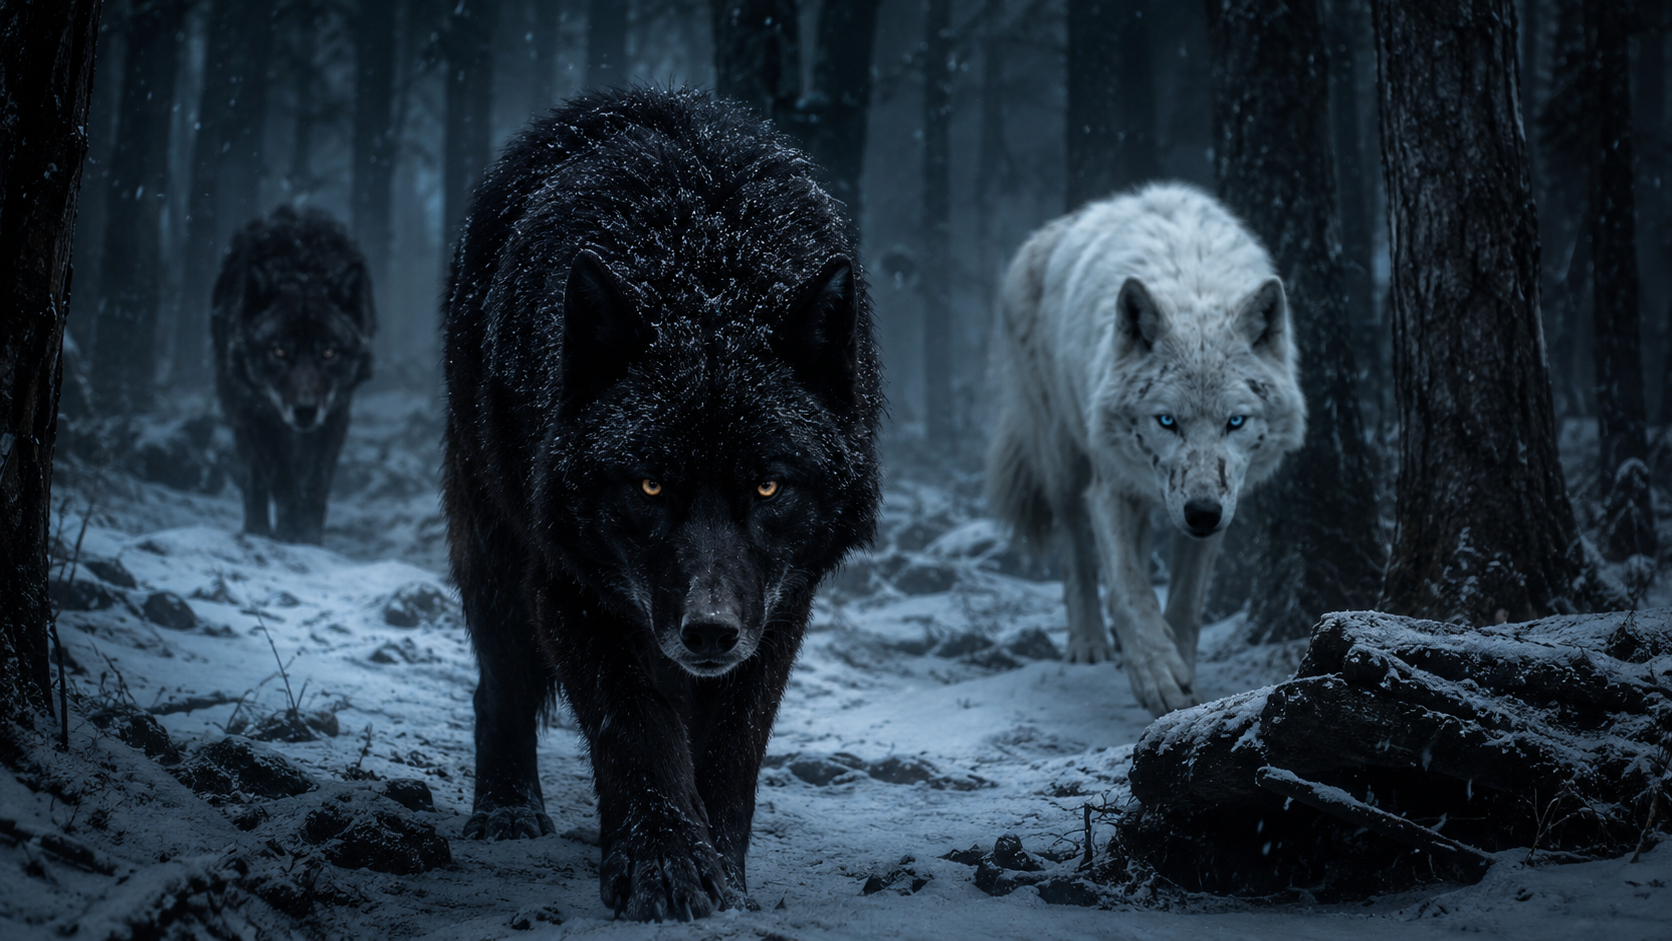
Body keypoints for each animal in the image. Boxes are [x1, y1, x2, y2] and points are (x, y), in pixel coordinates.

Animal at [211, 206, 376, 544]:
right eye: (278, 351)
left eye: (328, 352)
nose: (304, 411)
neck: (302, 266)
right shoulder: (255, 411)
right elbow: (280, 477)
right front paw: (289, 532)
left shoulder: (336, 412)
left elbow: (317, 482)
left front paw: (309, 536)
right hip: (237, 410)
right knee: (254, 477)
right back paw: (257, 528)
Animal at [441, 88, 881, 921]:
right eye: (649, 486)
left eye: (768, 486)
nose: (707, 631)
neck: (705, 263)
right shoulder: (572, 585)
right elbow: (638, 729)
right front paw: (665, 864)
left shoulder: (778, 607)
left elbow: (729, 752)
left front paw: (725, 876)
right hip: (496, 542)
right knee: (499, 680)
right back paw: (507, 810)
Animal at [986, 182, 1305, 717]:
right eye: (1167, 421)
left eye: (1235, 422)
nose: (1201, 513)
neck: (1194, 289)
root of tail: (1047, 234)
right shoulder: (1109, 487)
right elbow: (1129, 588)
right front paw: (1157, 674)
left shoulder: (1221, 503)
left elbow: (1186, 602)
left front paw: (1182, 676)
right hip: (1062, 460)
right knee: (1077, 552)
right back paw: (1089, 643)